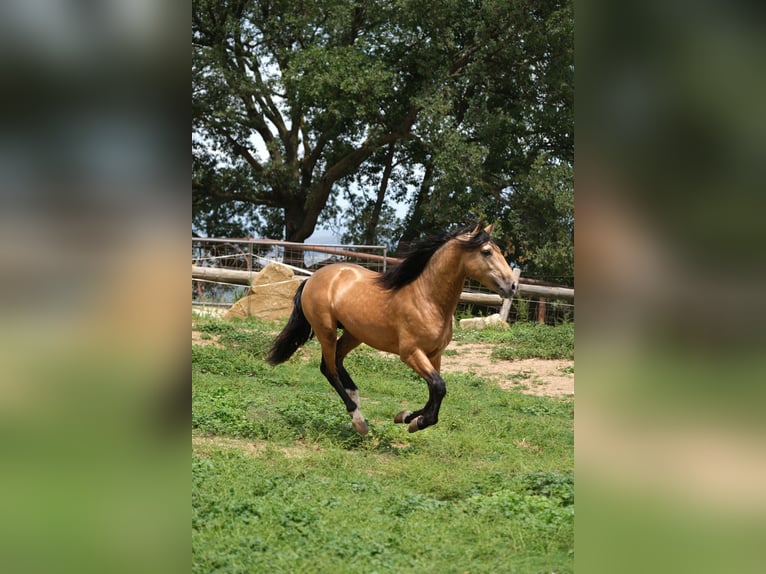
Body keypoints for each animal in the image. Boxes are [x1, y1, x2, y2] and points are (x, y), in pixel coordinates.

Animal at [268, 225, 520, 436]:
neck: (427, 298)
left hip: (354, 334)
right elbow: (439, 387)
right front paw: (416, 422)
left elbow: (435, 391)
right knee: (328, 370)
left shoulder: (435, 355)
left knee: (336, 363)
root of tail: (312, 279)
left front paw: (406, 417)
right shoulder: (411, 353)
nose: (512, 285)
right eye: (486, 252)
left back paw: (356, 398)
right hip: (326, 330)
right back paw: (358, 420)